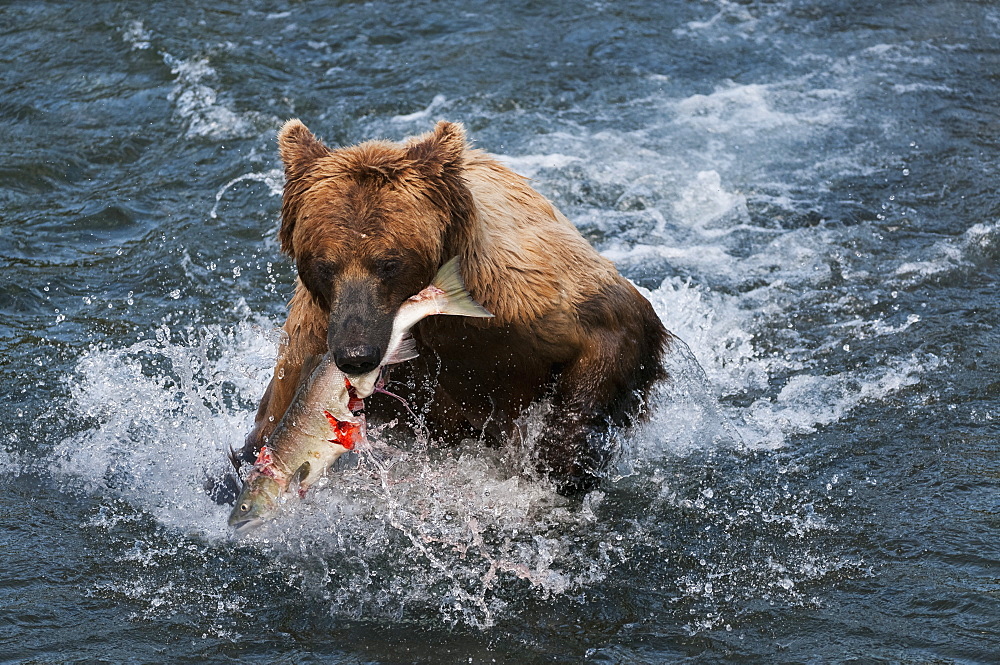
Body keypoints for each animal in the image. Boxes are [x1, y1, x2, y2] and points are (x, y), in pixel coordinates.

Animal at [239, 118, 672, 492]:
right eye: (325, 265)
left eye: (389, 262)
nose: (356, 354)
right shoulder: (309, 345)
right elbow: (264, 430)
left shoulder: (519, 301)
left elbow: (612, 326)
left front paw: (560, 460)